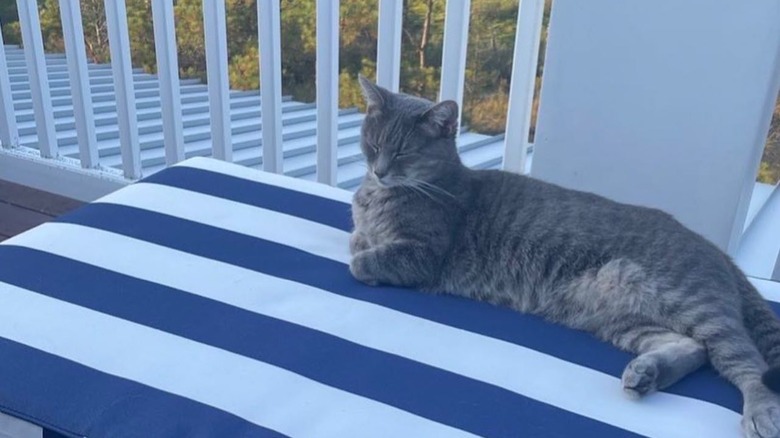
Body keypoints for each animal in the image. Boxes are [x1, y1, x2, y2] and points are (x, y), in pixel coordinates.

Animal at [350, 76, 780, 438]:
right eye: (372, 145)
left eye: (403, 152)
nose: (379, 170)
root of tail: (719, 252)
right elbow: (358, 238)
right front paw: (362, 236)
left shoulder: (425, 255)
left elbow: (361, 260)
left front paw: (365, 260)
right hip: (620, 318)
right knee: (694, 349)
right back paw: (646, 373)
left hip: (693, 303)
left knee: (748, 363)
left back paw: (759, 410)